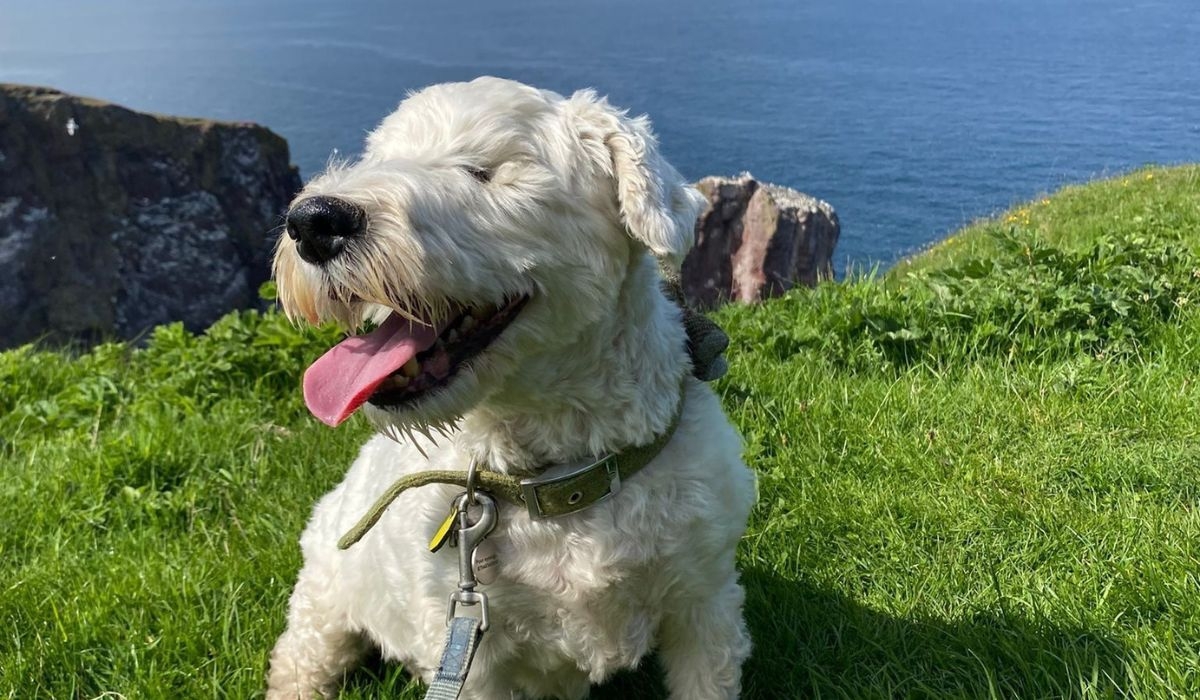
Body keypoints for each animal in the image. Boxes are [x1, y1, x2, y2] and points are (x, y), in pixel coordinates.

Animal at [271, 78, 753, 700]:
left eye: (483, 169)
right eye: (376, 159)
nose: (313, 221)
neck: (556, 475)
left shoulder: (704, 606)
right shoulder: (472, 655)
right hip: (325, 598)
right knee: (301, 655)